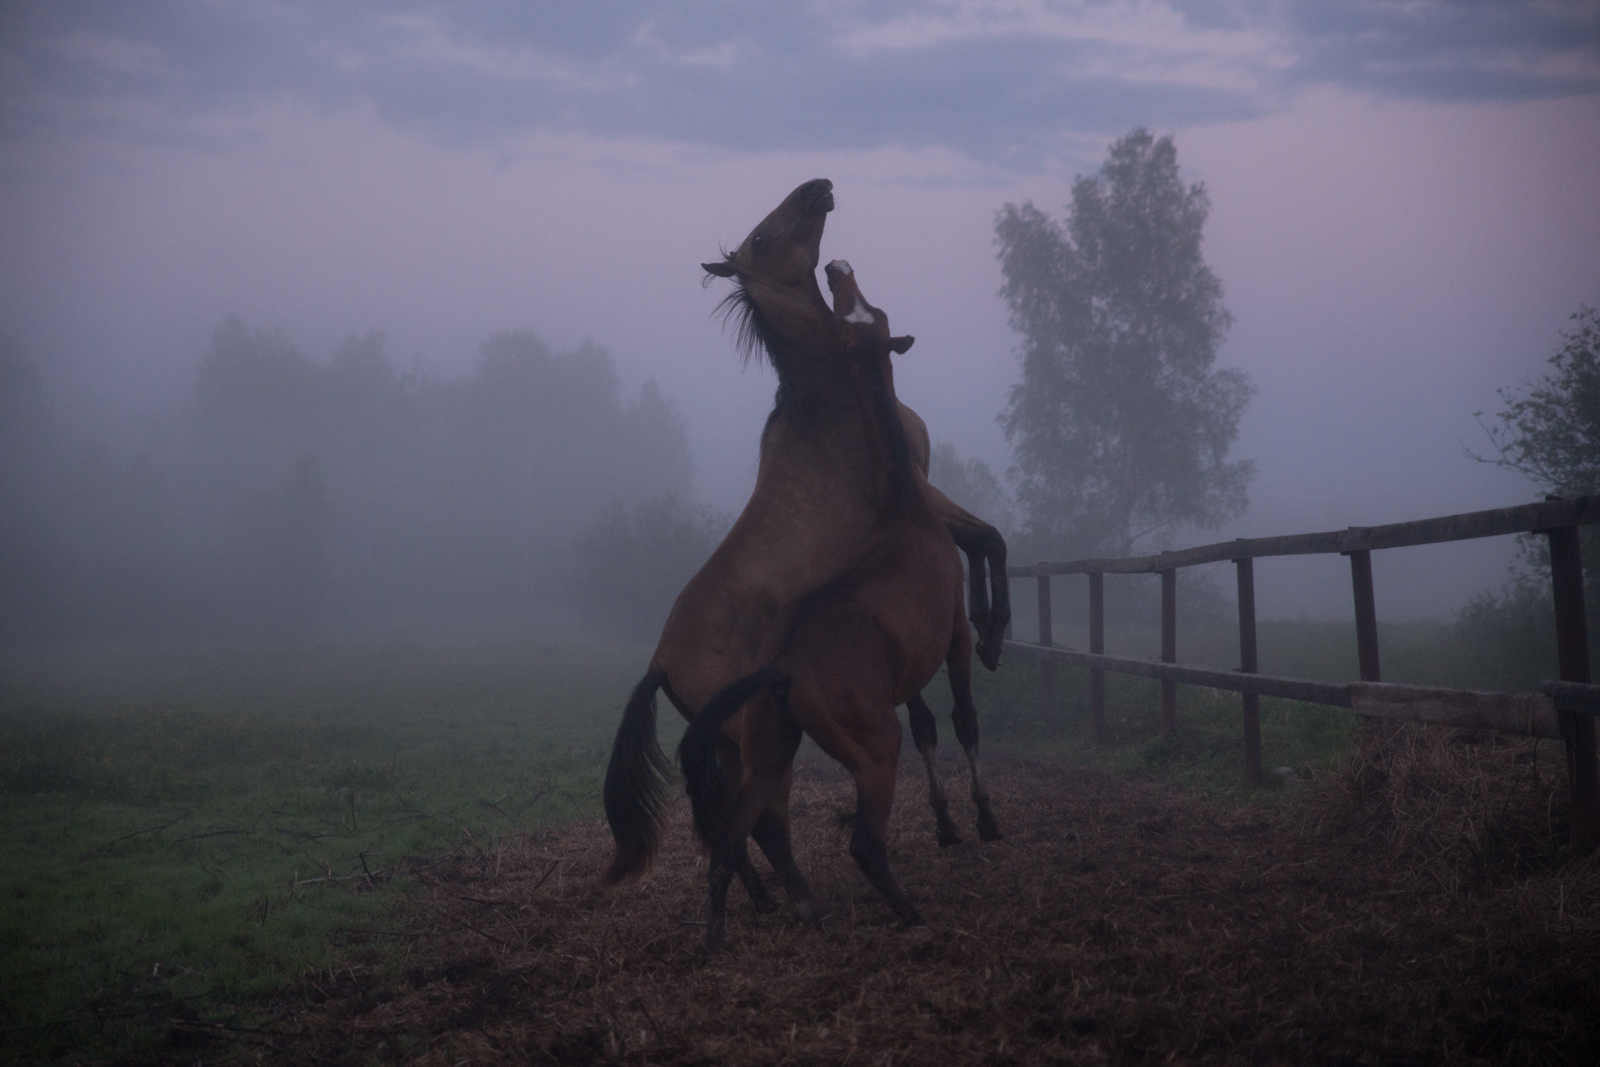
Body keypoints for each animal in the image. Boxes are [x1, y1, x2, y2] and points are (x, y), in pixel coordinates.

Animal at [601, 179, 998, 895]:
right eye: (761, 237)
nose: (818, 186)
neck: (831, 404)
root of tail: (659, 663)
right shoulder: (924, 498)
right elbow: (988, 540)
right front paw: (993, 632)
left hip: (729, 744)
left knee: (727, 818)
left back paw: (765, 898)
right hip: (756, 736)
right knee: (761, 818)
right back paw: (798, 897)